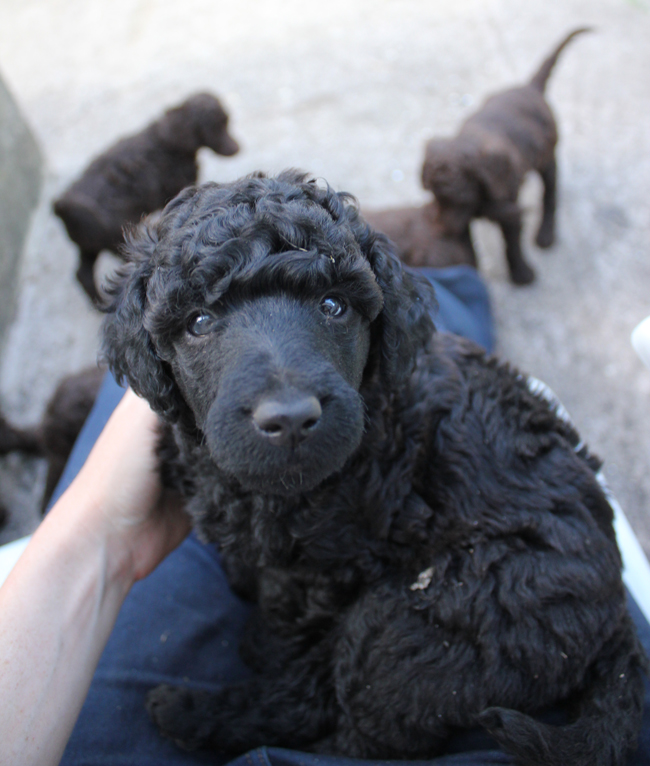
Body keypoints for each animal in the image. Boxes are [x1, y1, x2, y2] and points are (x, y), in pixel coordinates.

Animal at [53, 91, 239, 304]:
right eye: (215, 127)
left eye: (227, 122)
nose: (237, 148)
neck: (167, 140)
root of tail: (64, 209)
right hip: (112, 237)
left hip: (90, 244)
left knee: (82, 274)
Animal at [102, 174, 644, 766]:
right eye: (199, 322)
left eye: (333, 305)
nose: (290, 419)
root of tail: (618, 620)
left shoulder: (327, 565)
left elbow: (286, 621)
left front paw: (260, 643)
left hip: (429, 618)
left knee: (353, 721)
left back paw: (195, 714)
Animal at [418, 27, 588, 286]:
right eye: (435, 196)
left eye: (460, 198)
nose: (442, 230)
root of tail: (530, 88)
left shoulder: (507, 210)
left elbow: (512, 243)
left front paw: (521, 274)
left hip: (547, 158)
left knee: (550, 195)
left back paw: (545, 234)